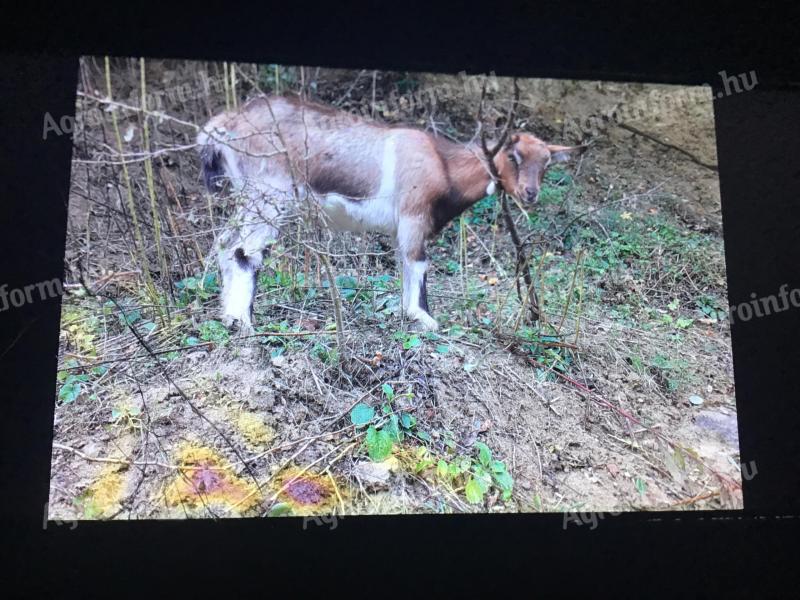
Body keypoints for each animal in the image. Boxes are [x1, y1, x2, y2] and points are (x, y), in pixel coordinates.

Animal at [195, 94, 580, 330]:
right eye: (513, 156)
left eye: (546, 163)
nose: (530, 194)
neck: (443, 164)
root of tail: (225, 124)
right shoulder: (413, 215)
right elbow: (419, 263)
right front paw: (423, 318)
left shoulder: (404, 227)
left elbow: (405, 264)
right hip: (269, 196)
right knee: (244, 250)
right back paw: (243, 321)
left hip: (251, 198)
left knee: (224, 243)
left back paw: (228, 315)